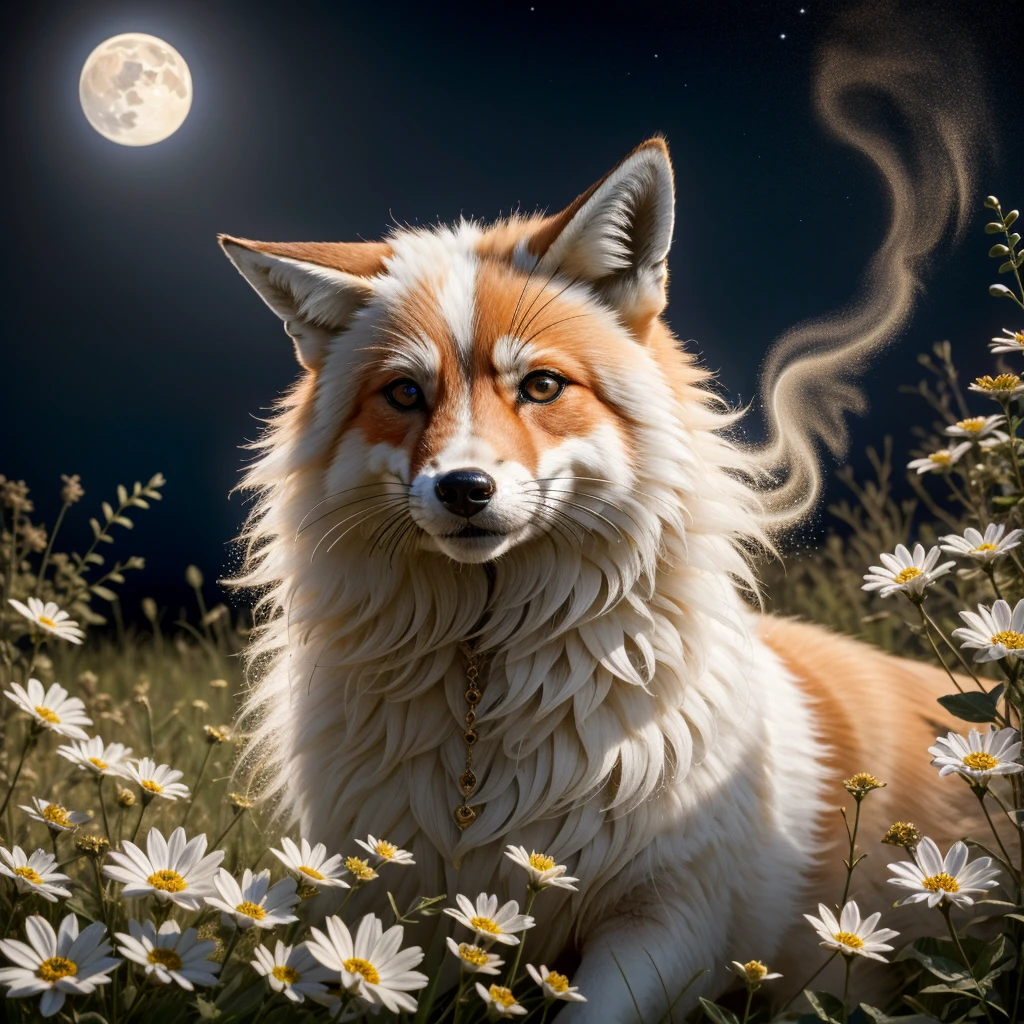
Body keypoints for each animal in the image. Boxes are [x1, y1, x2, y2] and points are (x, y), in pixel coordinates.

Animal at [219, 138, 989, 1018]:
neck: (486, 703)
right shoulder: (383, 897)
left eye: (543, 386)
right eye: (405, 393)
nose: (463, 490)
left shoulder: (670, 917)